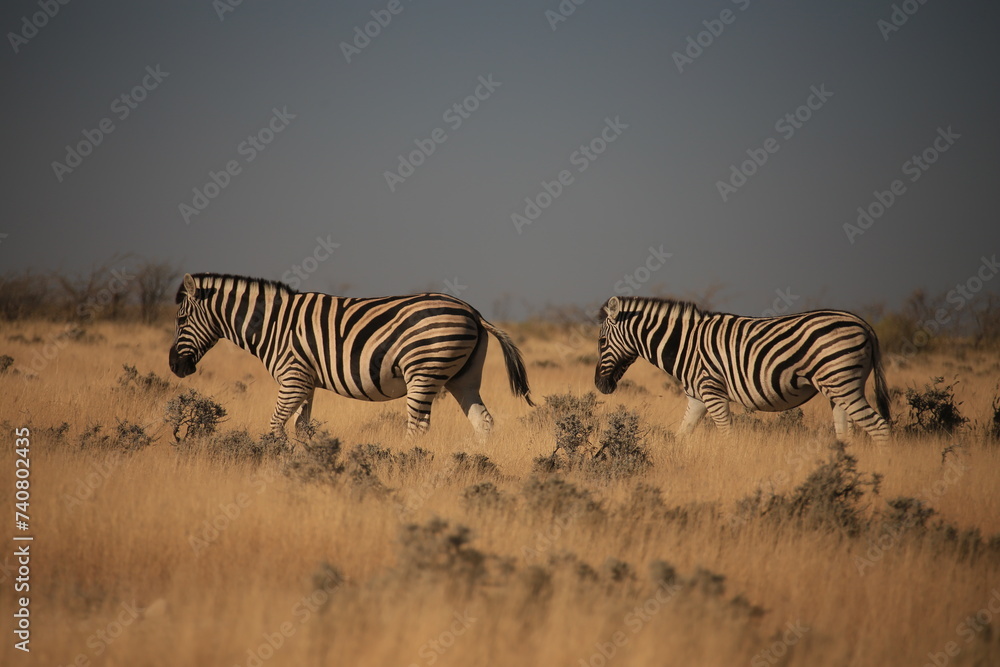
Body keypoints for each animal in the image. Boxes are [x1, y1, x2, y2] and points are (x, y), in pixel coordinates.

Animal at [168, 273, 534, 437]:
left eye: (181, 320)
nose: (174, 366)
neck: (272, 324)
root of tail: (472, 310)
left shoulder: (292, 378)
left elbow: (275, 426)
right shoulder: (305, 381)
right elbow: (301, 427)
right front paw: (307, 465)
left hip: (424, 371)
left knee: (418, 427)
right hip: (463, 377)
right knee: (483, 421)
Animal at [594, 296, 891, 441]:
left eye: (601, 341)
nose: (599, 385)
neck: (686, 344)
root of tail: (864, 324)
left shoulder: (712, 391)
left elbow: (727, 435)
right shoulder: (697, 398)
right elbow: (681, 436)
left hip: (842, 382)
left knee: (879, 427)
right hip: (838, 388)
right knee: (845, 432)